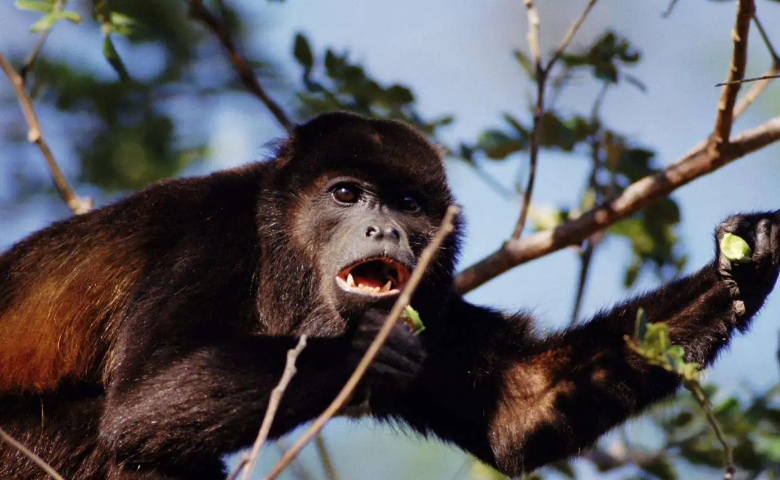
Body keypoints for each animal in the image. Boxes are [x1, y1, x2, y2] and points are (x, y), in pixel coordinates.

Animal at [1, 110, 780, 478]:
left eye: (408, 204)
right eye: (347, 195)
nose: (387, 227)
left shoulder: (433, 301)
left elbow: (521, 406)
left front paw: (746, 261)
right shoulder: (209, 241)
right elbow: (139, 406)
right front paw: (365, 349)